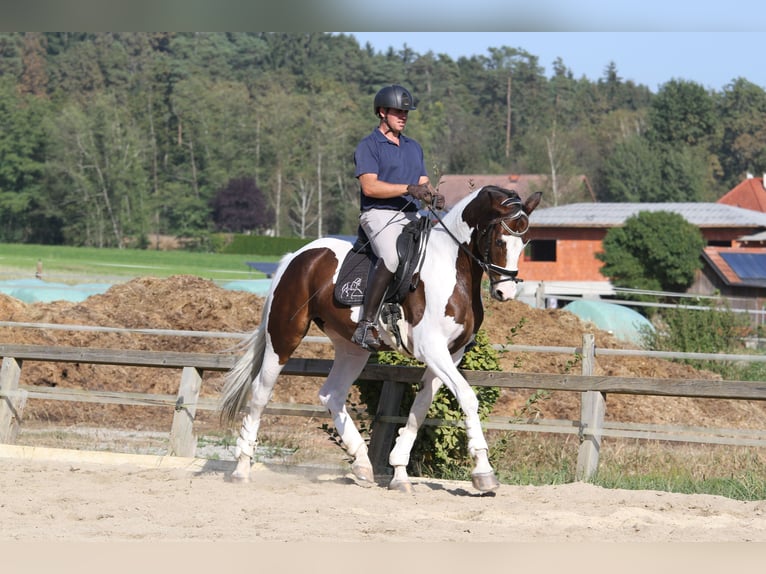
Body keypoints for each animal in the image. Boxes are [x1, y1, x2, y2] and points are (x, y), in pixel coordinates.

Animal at [220, 185, 542, 493]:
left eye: (526, 242)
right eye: (499, 241)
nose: (505, 292)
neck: (453, 268)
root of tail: (297, 256)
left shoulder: (452, 353)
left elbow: (419, 409)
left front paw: (399, 473)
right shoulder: (432, 348)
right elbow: (467, 397)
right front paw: (484, 473)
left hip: (352, 348)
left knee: (332, 394)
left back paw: (362, 465)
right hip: (284, 336)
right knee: (260, 393)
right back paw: (242, 467)